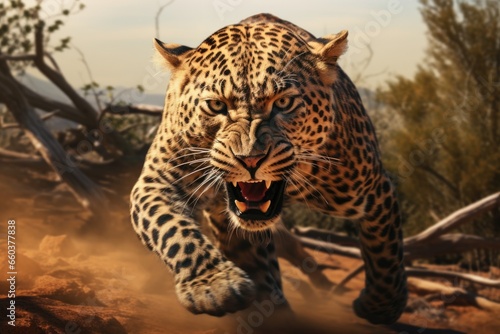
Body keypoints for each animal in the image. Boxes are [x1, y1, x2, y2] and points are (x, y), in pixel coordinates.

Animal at [129, 12, 406, 324]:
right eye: (216, 106)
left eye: (283, 102)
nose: (250, 159)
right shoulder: (158, 181)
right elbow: (171, 229)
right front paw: (214, 284)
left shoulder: (375, 190)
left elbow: (385, 252)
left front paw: (381, 307)